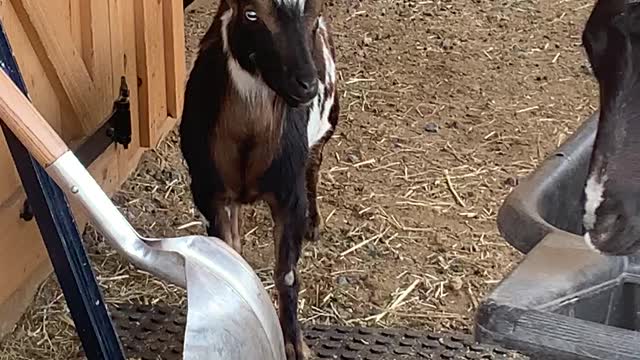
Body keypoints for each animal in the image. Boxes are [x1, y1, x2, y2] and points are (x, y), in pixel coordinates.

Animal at [179, 0, 340, 358]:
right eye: (252, 14)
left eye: (314, 14)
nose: (307, 85)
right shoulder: (208, 192)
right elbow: (229, 254)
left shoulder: (289, 196)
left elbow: (288, 274)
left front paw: (295, 344)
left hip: (327, 124)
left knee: (315, 165)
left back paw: (314, 223)